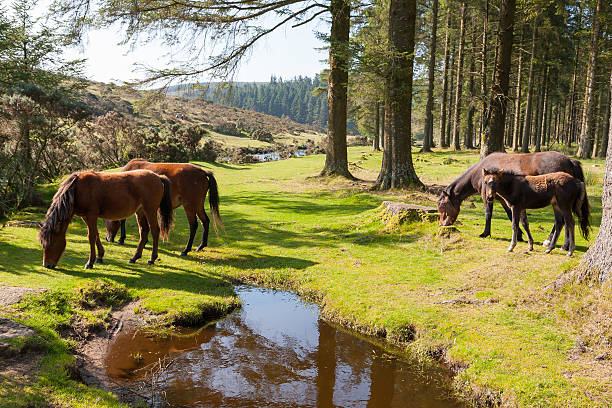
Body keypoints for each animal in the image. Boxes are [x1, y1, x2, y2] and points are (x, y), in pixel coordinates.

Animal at [38, 170, 173, 270]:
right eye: (42, 244)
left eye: (51, 243)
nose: (47, 265)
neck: (76, 190)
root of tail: (158, 177)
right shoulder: (85, 216)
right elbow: (96, 235)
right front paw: (100, 256)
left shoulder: (91, 215)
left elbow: (91, 237)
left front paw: (90, 262)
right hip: (140, 211)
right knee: (144, 231)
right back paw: (134, 257)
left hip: (150, 210)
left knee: (155, 231)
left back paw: (152, 259)